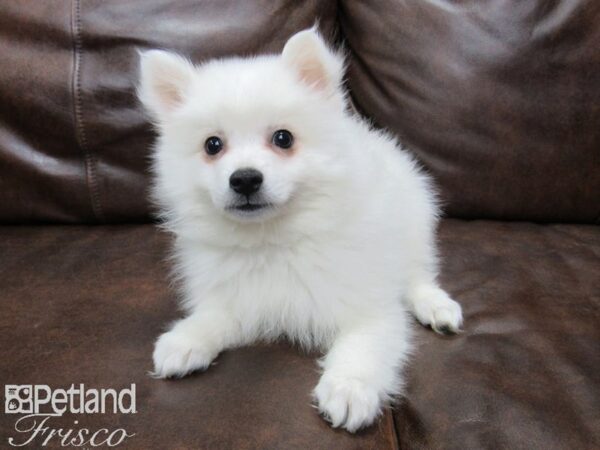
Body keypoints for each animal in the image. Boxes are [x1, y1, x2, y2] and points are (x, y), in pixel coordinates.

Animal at [139, 28, 464, 432]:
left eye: (283, 138)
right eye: (212, 145)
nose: (244, 179)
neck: (273, 239)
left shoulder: (366, 299)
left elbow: (365, 342)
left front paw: (348, 386)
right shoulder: (241, 297)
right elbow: (216, 315)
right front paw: (186, 338)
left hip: (414, 224)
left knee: (418, 274)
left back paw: (436, 307)